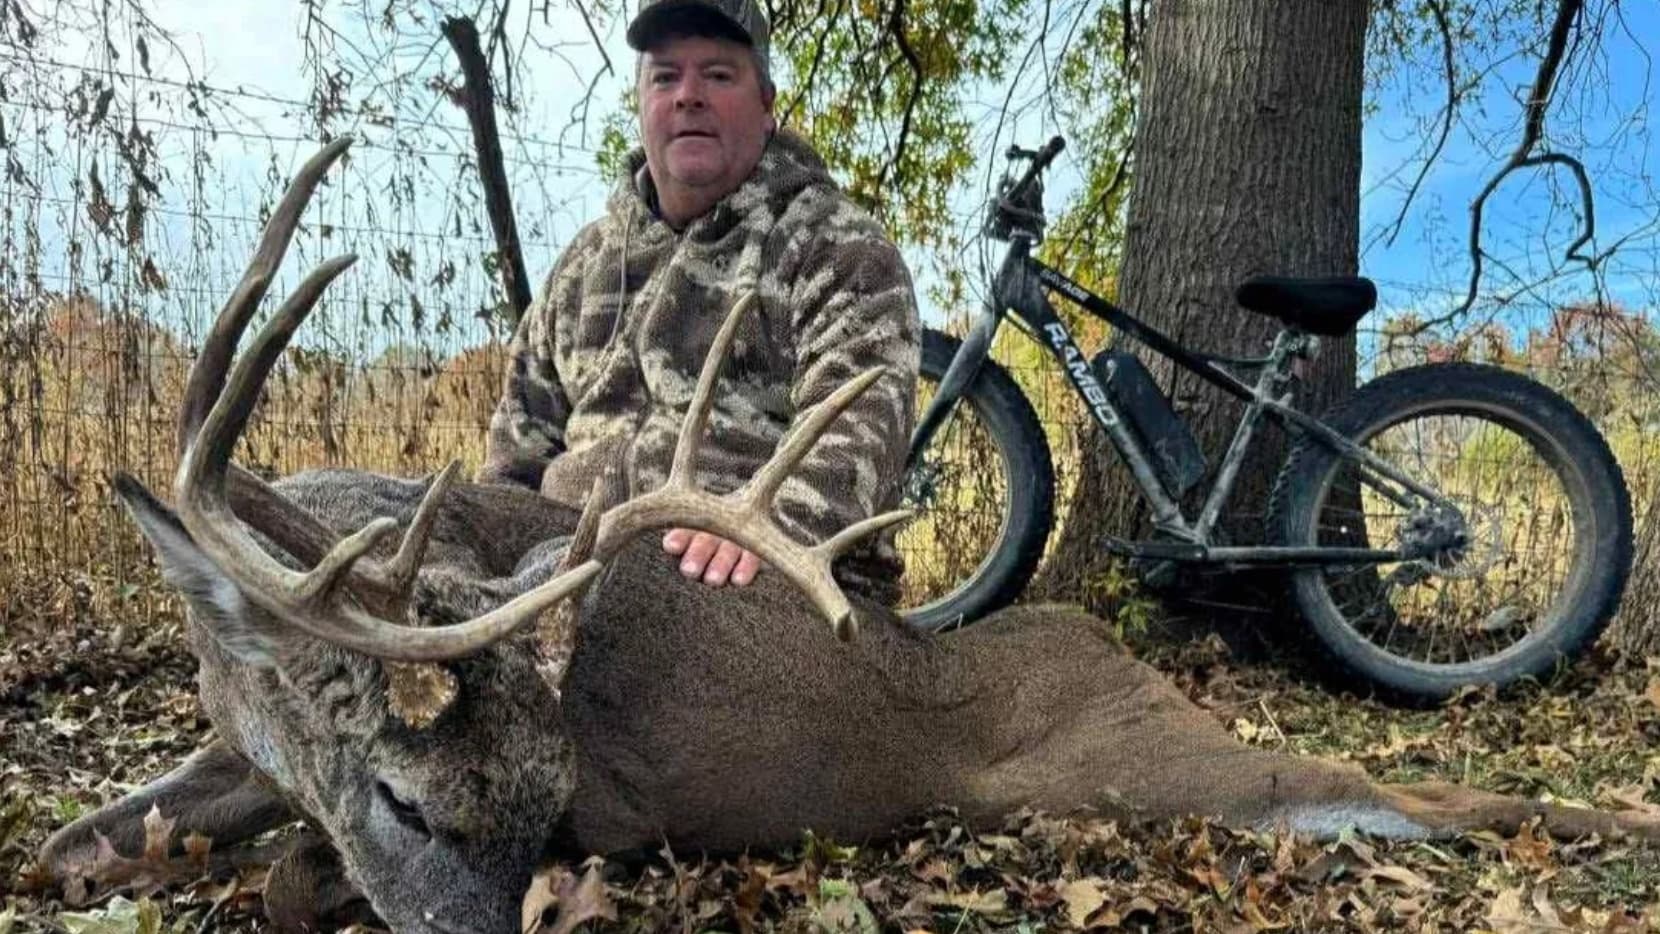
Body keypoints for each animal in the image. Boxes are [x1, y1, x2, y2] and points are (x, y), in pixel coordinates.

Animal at [39, 139, 1660, 934]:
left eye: (551, 796)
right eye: (410, 801)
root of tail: (1094, 638)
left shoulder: (622, 807)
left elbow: (283, 878)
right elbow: (72, 846)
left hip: (1148, 762)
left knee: (1422, 796)